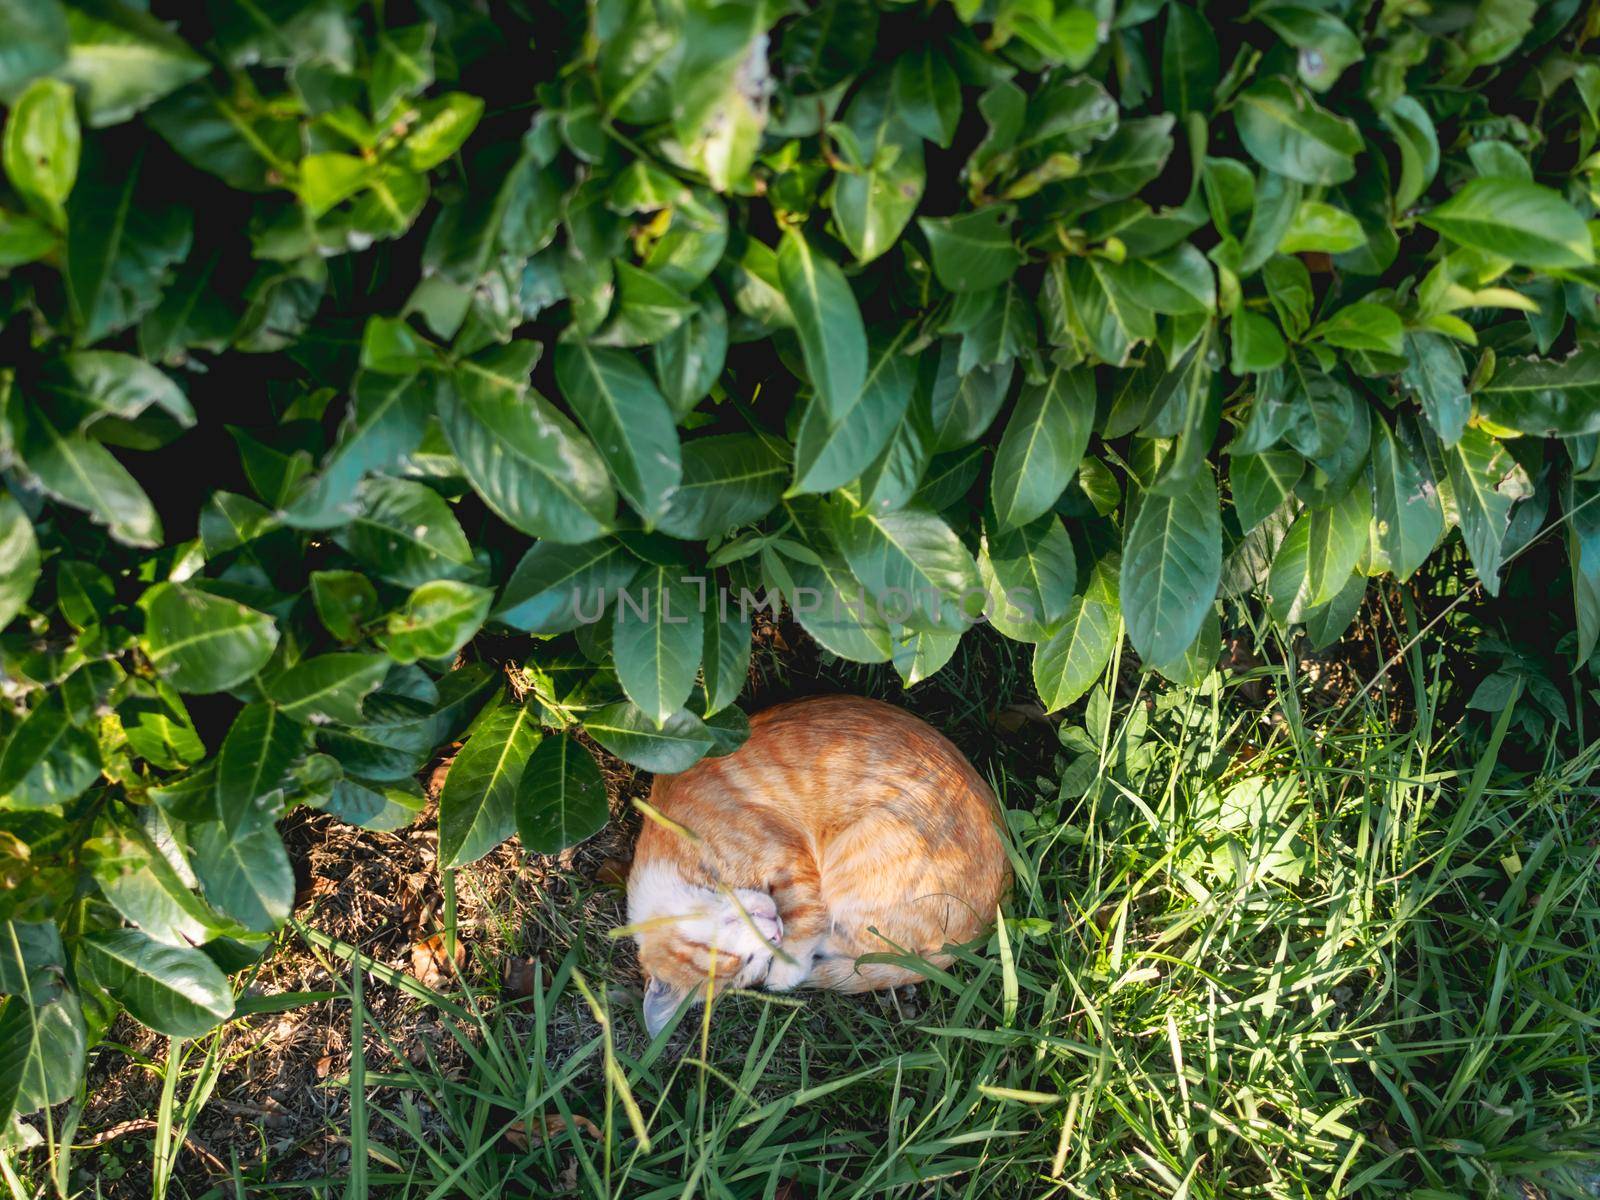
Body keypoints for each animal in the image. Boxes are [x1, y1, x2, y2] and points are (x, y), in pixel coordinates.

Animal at [624, 700, 1011, 1036]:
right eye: (750, 965)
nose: (774, 935)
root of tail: (986, 925)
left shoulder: (789, 858)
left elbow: (807, 914)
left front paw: (787, 969)